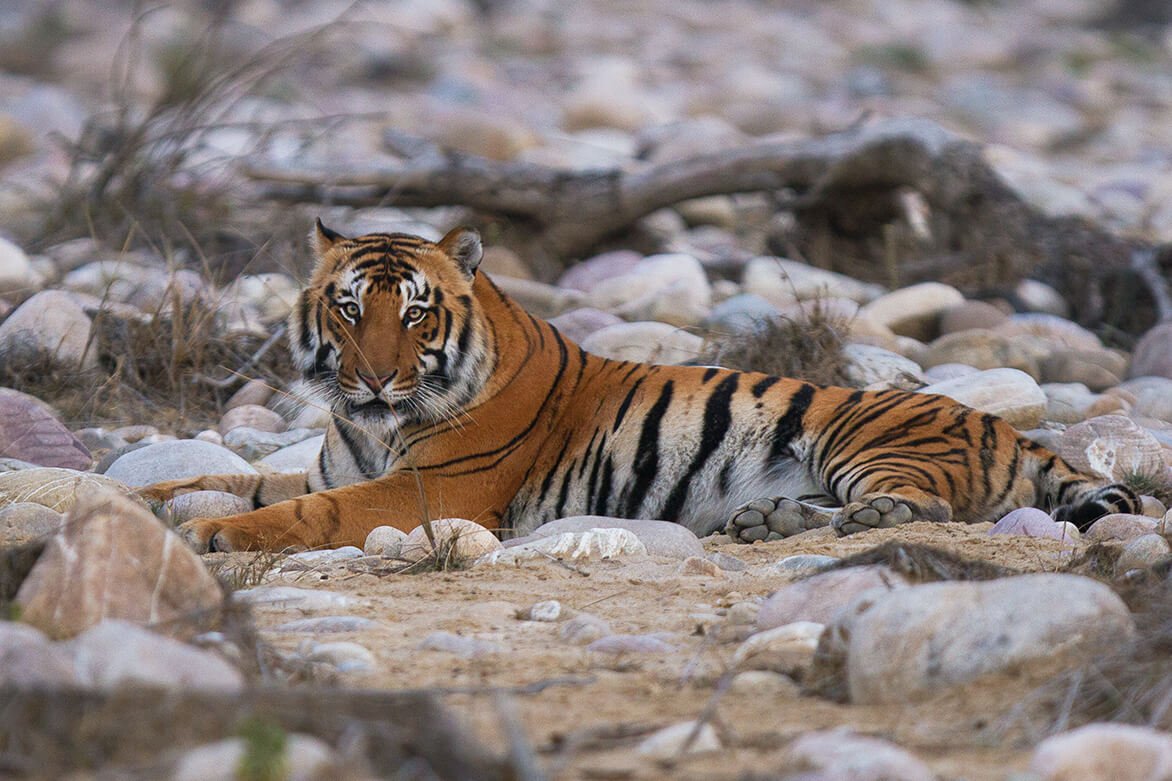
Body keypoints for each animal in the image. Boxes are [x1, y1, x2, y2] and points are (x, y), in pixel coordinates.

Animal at [141, 221, 1142, 553]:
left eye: (417, 315)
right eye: (350, 309)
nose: (376, 377)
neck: (375, 424)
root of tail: (1011, 428)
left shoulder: (434, 487)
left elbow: (296, 514)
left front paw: (217, 535)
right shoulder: (332, 466)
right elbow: (230, 479)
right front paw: (150, 504)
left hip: (863, 437)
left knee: (925, 509)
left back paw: (853, 520)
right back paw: (766, 521)